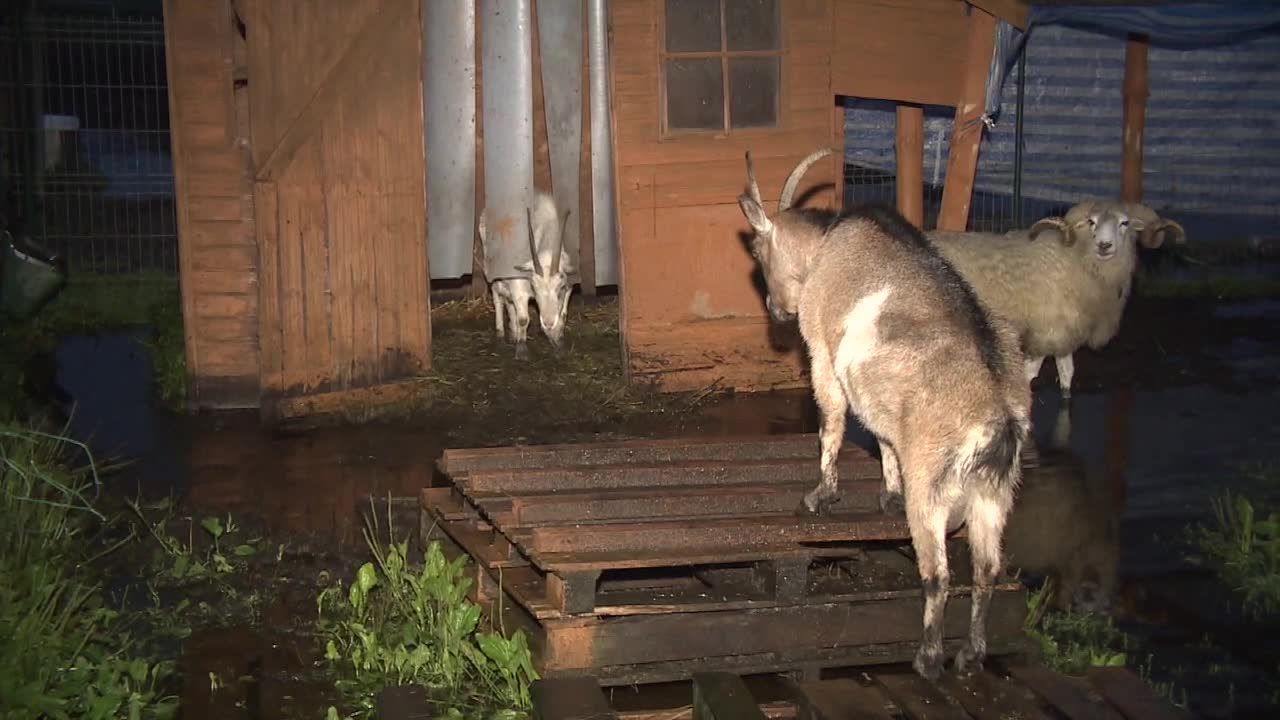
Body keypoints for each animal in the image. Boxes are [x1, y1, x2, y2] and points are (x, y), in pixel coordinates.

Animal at [478, 190, 573, 358]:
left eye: (560, 287)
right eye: (534, 287)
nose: (548, 323)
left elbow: (563, 314)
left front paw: (558, 341)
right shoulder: (519, 286)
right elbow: (523, 319)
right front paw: (522, 350)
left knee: (509, 303)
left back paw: (513, 332)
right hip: (492, 271)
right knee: (498, 298)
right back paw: (501, 335)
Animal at [737, 147, 1034, 676]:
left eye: (757, 251)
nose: (774, 308)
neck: (828, 244)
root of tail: (998, 419)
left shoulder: (821, 351)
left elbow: (832, 422)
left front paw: (820, 497)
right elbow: (882, 437)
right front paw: (887, 495)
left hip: (933, 486)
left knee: (938, 573)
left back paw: (929, 657)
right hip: (994, 494)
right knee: (986, 569)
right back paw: (971, 654)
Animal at [926, 198, 1182, 394]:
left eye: (1124, 223)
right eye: (1092, 222)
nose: (1104, 245)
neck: (1077, 259)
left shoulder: (1064, 331)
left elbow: (1067, 373)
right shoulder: (1046, 332)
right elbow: (1029, 374)